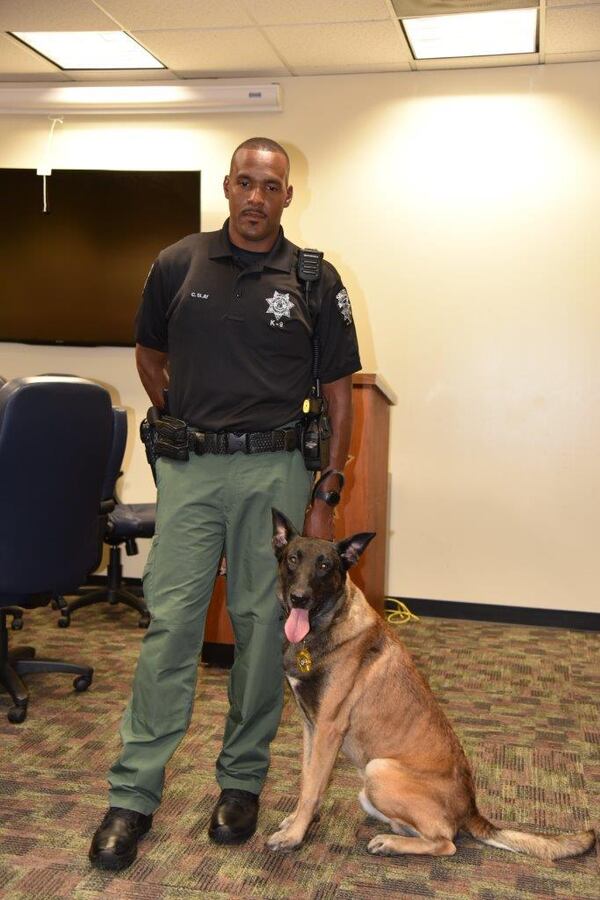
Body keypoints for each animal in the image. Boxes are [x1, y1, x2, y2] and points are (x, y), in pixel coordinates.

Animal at [268, 510, 596, 860]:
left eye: (325, 565)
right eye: (293, 559)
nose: (299, 598)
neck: (325, 627)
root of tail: (471, 810)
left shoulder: (328, 729)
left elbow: (312, 786)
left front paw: (294, 835)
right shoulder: (310, 727)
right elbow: (308, 779)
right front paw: (298, 821)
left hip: (378, 770)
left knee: (445, 842)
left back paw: (391, 843)